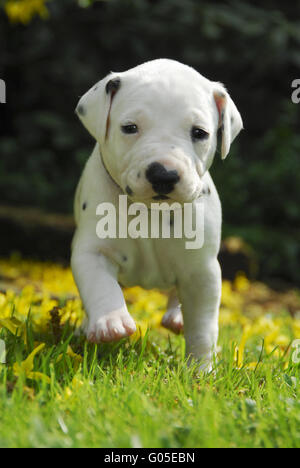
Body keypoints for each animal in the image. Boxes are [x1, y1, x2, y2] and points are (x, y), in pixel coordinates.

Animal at [72, 58, 244, 368]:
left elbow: (203, 326)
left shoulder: (202, 270)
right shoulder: (93, 250)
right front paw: (110, 322)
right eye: (130, 127)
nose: (164, 174)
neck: (151, 211)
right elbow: (100, 284)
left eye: (199, 133)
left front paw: (201, 369)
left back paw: (177, 316)